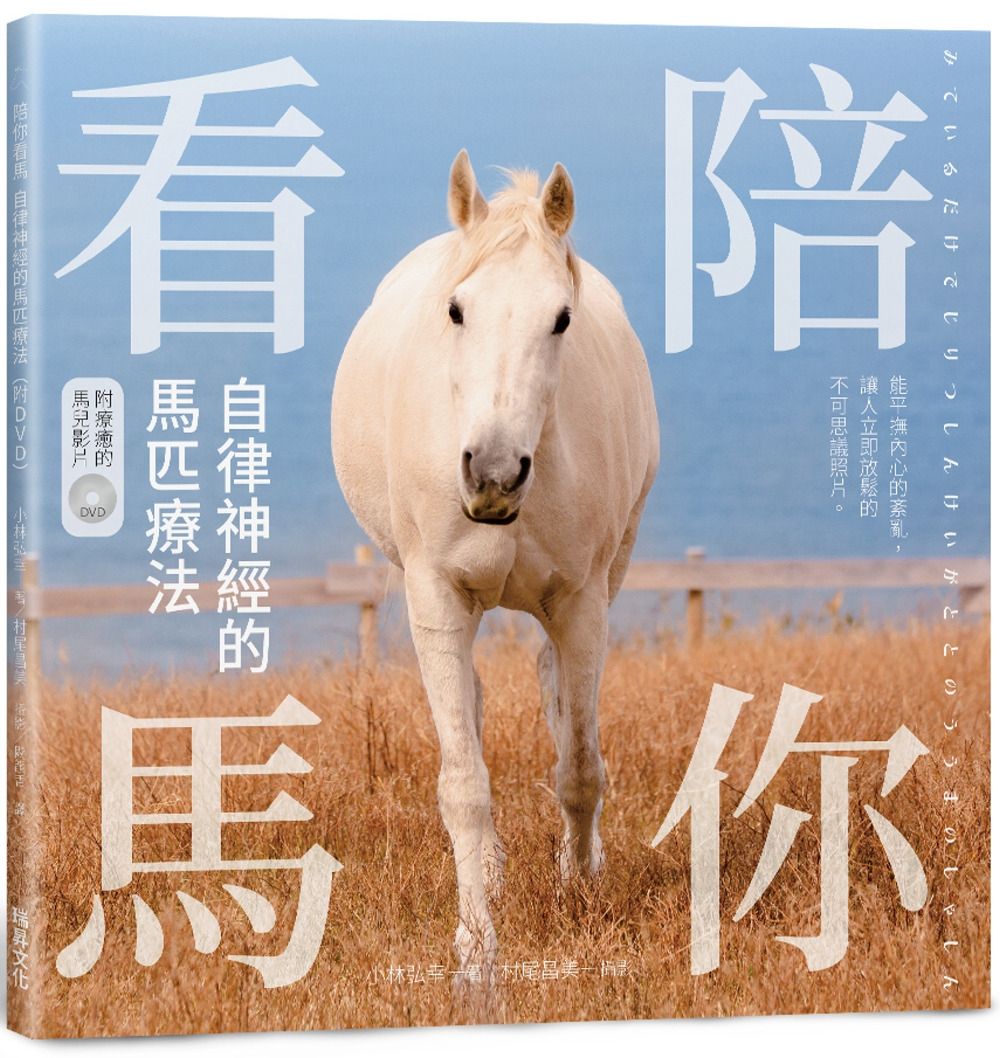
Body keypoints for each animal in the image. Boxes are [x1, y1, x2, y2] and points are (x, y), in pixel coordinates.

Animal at [331, 149, 659, 976]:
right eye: (456, 310)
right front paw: (476, 943)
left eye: (562, 318)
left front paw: (581, 888)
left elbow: (580, 765)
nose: (493, 473)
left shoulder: (583, 601)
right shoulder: (436, 596)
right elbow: (464, 783)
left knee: (555, 694)